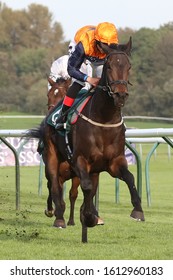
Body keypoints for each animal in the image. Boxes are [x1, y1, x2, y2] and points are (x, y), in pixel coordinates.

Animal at [28, 37, 145, 242]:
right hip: (52, 157)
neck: (104, 119)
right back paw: (58, 217)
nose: (120, 94)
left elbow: (129, 178)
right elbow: (84, 188)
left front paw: (137, 210)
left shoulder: (114, 162)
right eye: (109, 66)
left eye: (129, 66)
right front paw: (87, 217)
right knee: (55, 185)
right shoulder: (80, 160)